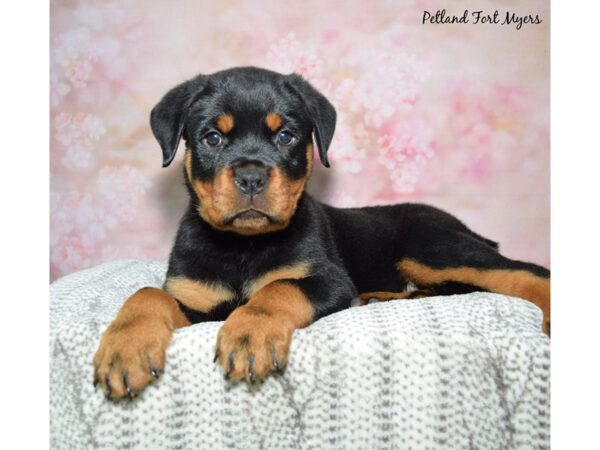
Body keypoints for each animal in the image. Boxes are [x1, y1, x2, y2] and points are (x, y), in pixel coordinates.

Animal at [92, 67, 548, 400]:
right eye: (213, 137)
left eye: (285, 135)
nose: (252, 177)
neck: (243, 245)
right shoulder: (197, 300)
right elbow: (147, 295)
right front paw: (123, 349)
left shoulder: (328, 279)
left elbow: (278, 289)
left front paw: (250, 333)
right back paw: (373, 298)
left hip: (432, 246)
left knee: (522, 271)